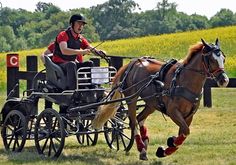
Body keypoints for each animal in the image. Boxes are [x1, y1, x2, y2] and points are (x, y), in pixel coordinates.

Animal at [91, 38, 229, 160]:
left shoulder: (189, 115)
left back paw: (144, 146)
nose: (224, 80)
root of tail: (132, 63)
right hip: (132, 99)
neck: (184, 80)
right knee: (133, 122)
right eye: (211, 59)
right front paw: (168, 145)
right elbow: (185, 131)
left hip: (151, 103)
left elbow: (183, 133)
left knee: (140, 118)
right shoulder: (173, 112)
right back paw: (141, 147)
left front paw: (167, 147)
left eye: (223, 58)